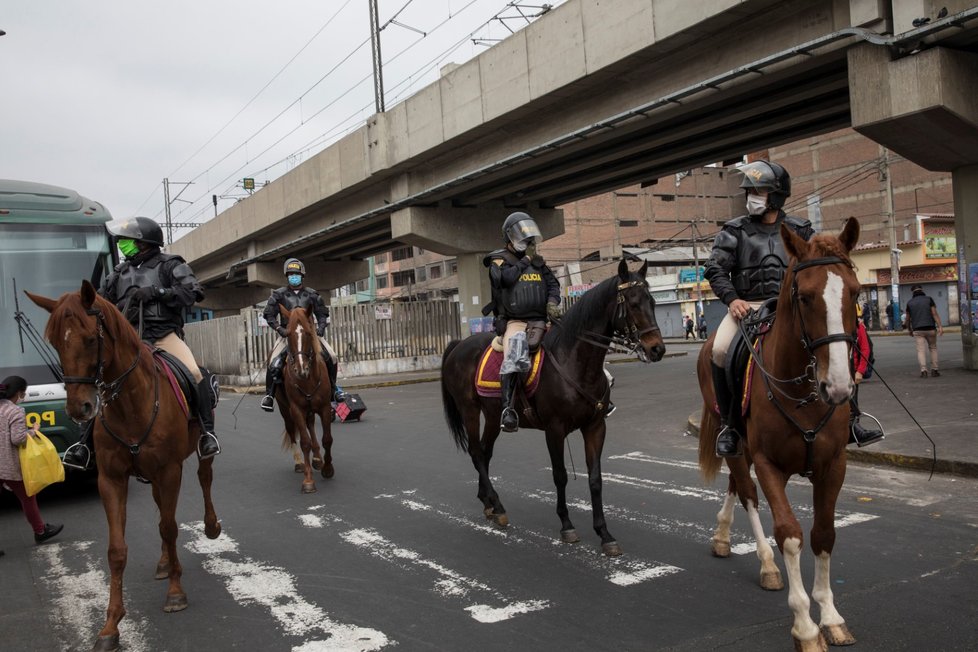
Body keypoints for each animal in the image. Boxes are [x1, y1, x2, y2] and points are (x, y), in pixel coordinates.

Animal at [25, 282, 221, 652]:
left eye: (90, 339)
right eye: (56, 341)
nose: (79, 408)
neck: (132, 403)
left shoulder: (170, 470)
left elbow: (171, 528)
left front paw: (175, 593)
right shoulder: (112, 479)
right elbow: (117, 550)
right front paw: (110, 625)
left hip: (196, 456)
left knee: (204, 480)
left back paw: (211, 526)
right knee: (161, 509)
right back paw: (164, 562)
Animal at [274, 304, 336, 492]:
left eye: (309, 333)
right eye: (288, 334)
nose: (301, 370)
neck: (308, 378)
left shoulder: (324, 408)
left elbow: (327, 439)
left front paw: (327, 469)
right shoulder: (296, 410)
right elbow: (305, 443)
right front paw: (308, 481)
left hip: (311, 408)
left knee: (311, 425)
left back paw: (317, 459)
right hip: (286, 410)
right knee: (292, 432)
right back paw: (300, 463)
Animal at [440, 260, 664, 556]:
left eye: (652, 301)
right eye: (633, 303)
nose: (657, 349)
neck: (575, 361)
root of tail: (459, 344)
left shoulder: (595, 427)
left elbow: (595, 479)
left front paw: (604, 533)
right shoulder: (554, 430)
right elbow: (560, 476)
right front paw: (567, 525)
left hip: (492, 414)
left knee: (485, 452)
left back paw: (489, 504)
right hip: (469, 410)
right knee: (477, 453)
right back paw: (498, 505)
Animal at [692, 220, 860, 652]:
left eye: (855, 292)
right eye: (804, 297)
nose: (838, 387)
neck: (802, 390)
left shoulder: (833, 464)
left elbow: (823, 534)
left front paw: (831, 617)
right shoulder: (770, 464)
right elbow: (789, 534)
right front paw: (805, 626)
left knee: (736, 485)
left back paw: (722, 536)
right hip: (736, 443)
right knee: (747, 491)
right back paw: (766, 564)